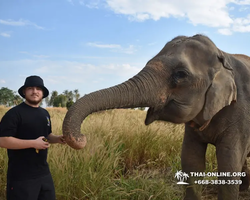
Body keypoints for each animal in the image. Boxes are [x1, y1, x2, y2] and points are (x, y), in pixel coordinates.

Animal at [63, 34, 250, 200]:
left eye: (181, 74)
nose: (82, 138)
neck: (223, 56)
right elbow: (191, 160)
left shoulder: (241, 113)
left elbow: (229, 162)